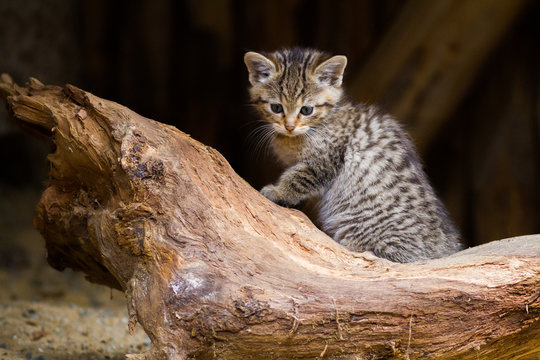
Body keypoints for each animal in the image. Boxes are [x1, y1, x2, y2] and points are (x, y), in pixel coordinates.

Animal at [244, 47, 460, 262]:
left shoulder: (324, 162)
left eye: (306, 110)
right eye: (276, 107)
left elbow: (297, 179)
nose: (289, 126)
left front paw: (278, 192)